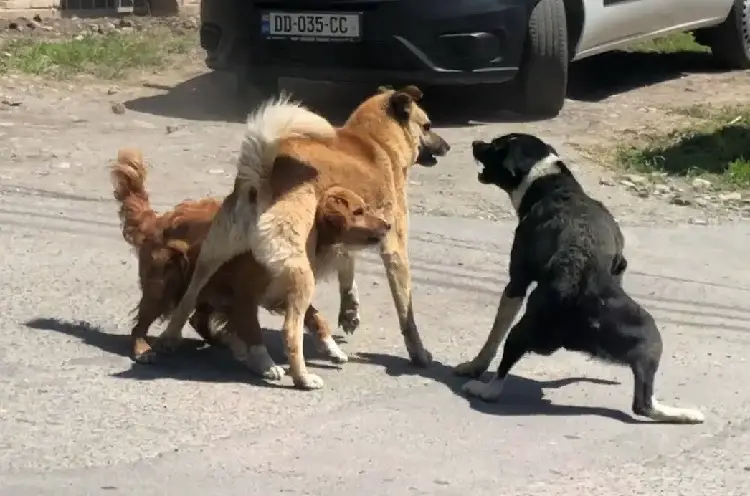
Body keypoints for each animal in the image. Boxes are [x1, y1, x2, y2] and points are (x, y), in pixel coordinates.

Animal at [160, 85, 452, 390]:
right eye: (427, 126)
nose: (447, 146)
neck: (374, 141)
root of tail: (263, 179)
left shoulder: (349, 237)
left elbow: (348, 270)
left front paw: (350, 310)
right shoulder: (395, 249)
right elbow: (406, 313)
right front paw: (418, 353)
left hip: (212, 256)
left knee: (189, 297)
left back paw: (170, 338)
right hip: (301, 275)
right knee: (290, 330)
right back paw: (302, 377)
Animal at [456, 134, 708, 424]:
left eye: (496, 145)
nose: (475, 142)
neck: (551, 183)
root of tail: (574, 293)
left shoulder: (516, 280)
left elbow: (494, 334)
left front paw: (476, 365)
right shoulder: (620, 264)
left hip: (526, 329)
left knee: (499, 380)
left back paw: (483, 389)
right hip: (650, 336)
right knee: (643, 403)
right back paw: (685, 414)